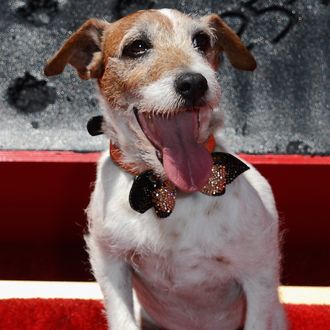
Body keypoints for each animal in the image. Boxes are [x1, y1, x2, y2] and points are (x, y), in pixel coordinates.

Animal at [43, 7, 286, 330]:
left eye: (202, 40)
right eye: (137, 47)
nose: (194, 83)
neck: (167, 190)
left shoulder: (259, 274)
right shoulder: (110, 263)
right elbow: (122, 319)